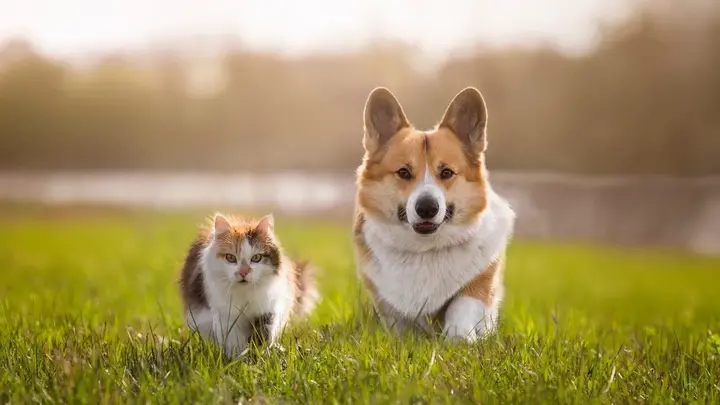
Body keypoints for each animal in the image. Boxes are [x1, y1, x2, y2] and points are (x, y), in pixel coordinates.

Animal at [179, 211, 320, 356]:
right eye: (230, 258)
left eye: (256, 258)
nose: (243, 272)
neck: (245, 295)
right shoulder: (226, 316)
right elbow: (234, 342)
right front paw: (239, 359)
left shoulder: (269, 306)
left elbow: (265, 332)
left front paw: (260, 351)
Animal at [352, 86, 516, 340]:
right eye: (403, 172)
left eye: (446, 172)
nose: (427, 207)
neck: (425, 249)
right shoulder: (384, 300)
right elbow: (396, 318)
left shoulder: (481, 281)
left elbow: (462, 305)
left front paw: (459, 337)